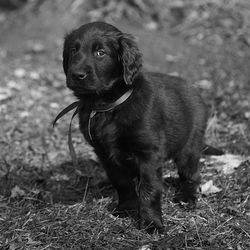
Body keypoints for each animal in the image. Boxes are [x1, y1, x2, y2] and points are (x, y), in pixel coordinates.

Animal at [62, 21, 219, 232]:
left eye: (100, 53)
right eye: (73, 50)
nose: (76, 74)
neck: (108, 106)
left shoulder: (148, 153)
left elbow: (150, 189)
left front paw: (152, 223)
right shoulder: (104, 153)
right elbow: (121, 181)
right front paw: (126, 208)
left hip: (190, 144)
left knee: (191, 174)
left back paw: (187, 197)